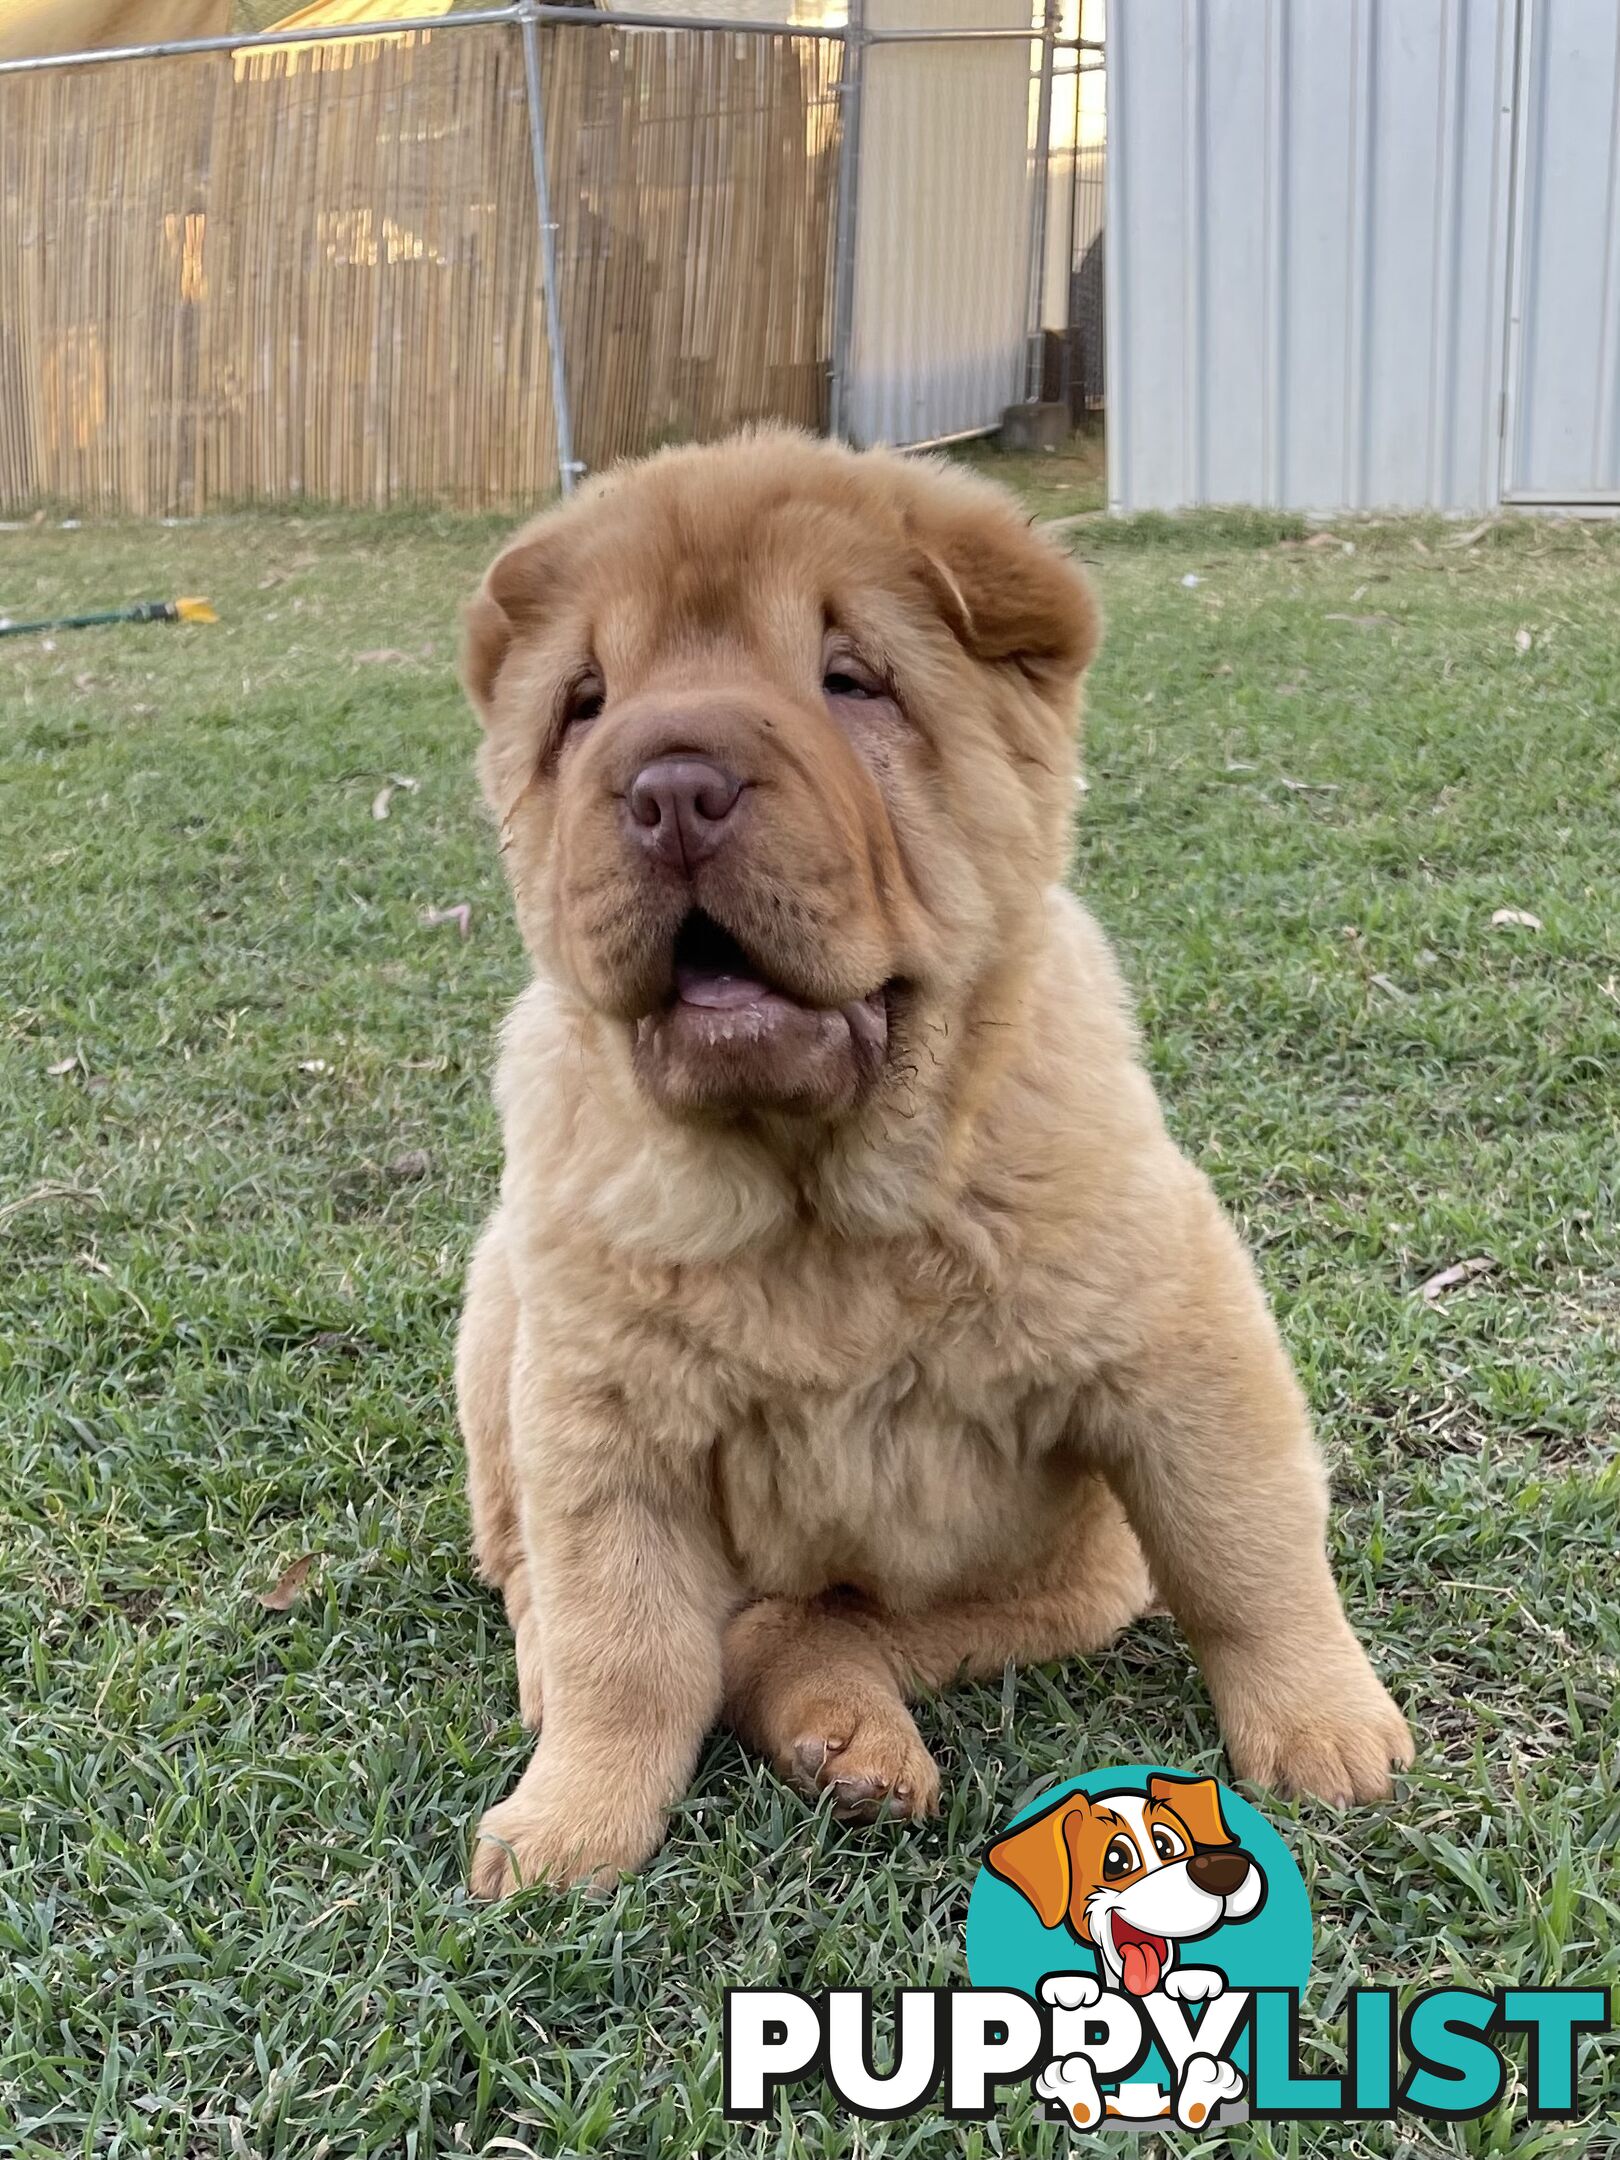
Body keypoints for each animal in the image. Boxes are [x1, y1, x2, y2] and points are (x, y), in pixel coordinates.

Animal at [453, 434, 1408, 1892]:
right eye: (585, 705)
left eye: (850, 681)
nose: (668, 786)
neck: (813, 1206)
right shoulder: (600, 1421)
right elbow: (623, 1646)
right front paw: (566, 1826)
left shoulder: (1179, 1344)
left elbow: (1248, 1550)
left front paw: (1327, 1732)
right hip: (499, 1307)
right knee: (553, 1586)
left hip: (1063, 1578)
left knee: (804, 1627)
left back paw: (846, 1741)